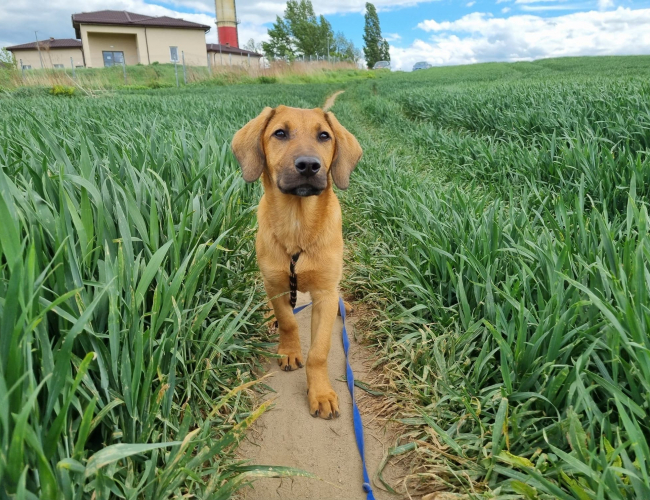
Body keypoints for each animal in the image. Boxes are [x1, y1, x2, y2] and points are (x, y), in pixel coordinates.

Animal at [232, 107, 364, 420]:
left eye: (324, 136)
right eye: (280, 133)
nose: (308, 166)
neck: (298, 223)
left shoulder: (324, 294)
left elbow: (319, 351)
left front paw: (321, 393)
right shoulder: (276, 284)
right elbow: (289, 321)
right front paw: (289, 351)